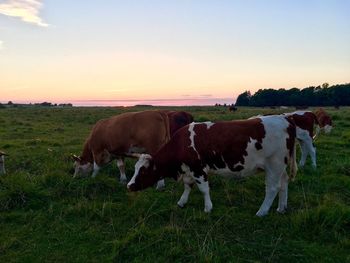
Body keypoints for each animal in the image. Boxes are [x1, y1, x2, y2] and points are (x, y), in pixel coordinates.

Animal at [127, 116, 296, 218]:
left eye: (143, 171)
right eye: (135, 169)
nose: (129, 186)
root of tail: (284, 119)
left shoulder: (198, 169)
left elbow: (203, 189)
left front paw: (208, 208)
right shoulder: (189, 170)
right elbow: (187, 186)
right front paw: (182, 202)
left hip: (274, 165)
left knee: (273, 188)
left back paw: (262, 211)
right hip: (280, 166)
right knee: (284, 183)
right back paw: (282, 208)